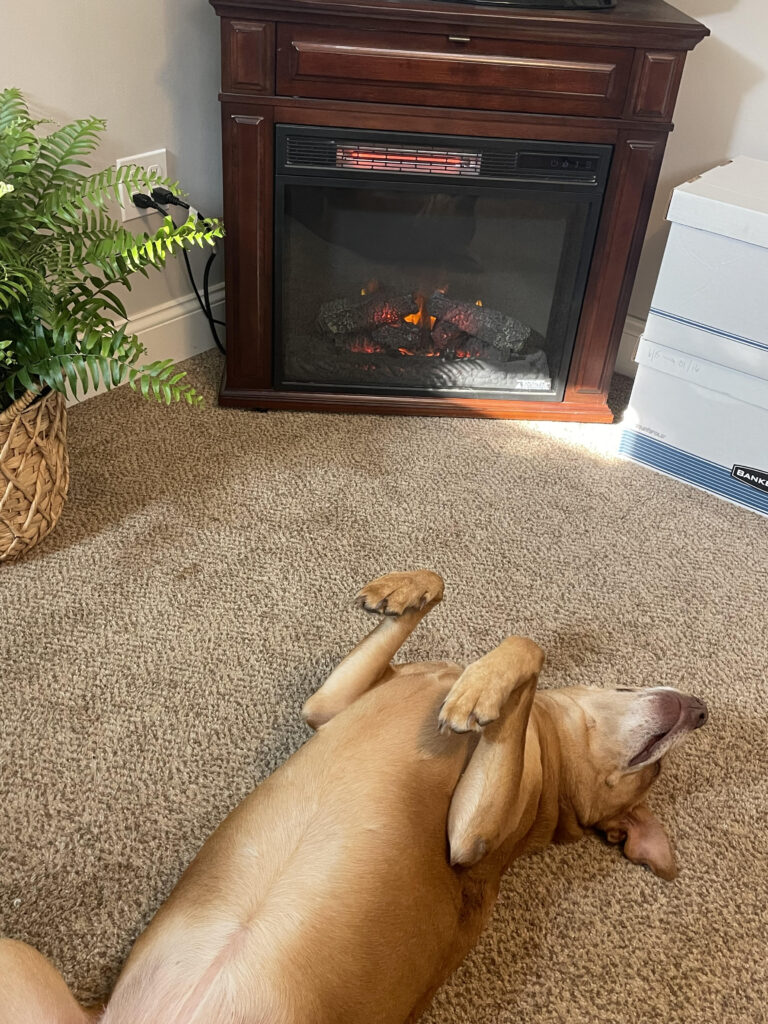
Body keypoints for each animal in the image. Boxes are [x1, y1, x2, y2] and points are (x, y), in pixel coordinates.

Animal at [0, 569, 708, 1024]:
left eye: (651, 777)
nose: (701, 710)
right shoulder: (329, 704)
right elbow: (441, 589)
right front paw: (407, 588)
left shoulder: (473, 837)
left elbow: (525, 647)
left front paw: (481, 692)